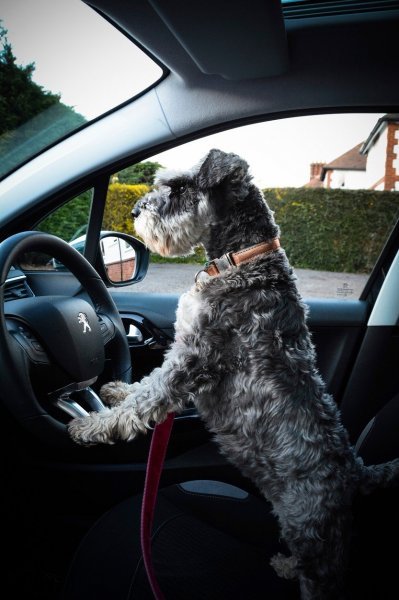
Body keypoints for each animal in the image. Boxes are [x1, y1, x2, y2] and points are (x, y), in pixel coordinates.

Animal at [69, 148, 399, 596]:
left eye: (181, 187)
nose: (136, 211)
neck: (243, 261)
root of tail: (355, 471)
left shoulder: (192, 358)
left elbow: (147, 400)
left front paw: (90, 426)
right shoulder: (181, 349)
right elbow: (144, 387)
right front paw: (118, 388)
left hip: (313, 533)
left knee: (322, 576)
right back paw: (284, 565)